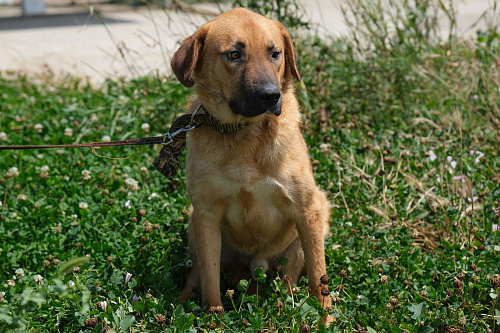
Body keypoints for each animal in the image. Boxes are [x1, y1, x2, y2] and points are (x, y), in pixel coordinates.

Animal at [172, 5, 332, 322]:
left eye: (275, 53)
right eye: (234, 54)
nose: (271, 96)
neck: (245, 134)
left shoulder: (306, 208)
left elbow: (318, 277)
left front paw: (327, 320)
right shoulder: (207, 215)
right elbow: (210, 283)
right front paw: (214, 319)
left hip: (314, 220)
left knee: (293, 277)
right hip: (194, 223)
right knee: (197, 273)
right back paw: (184, 303)